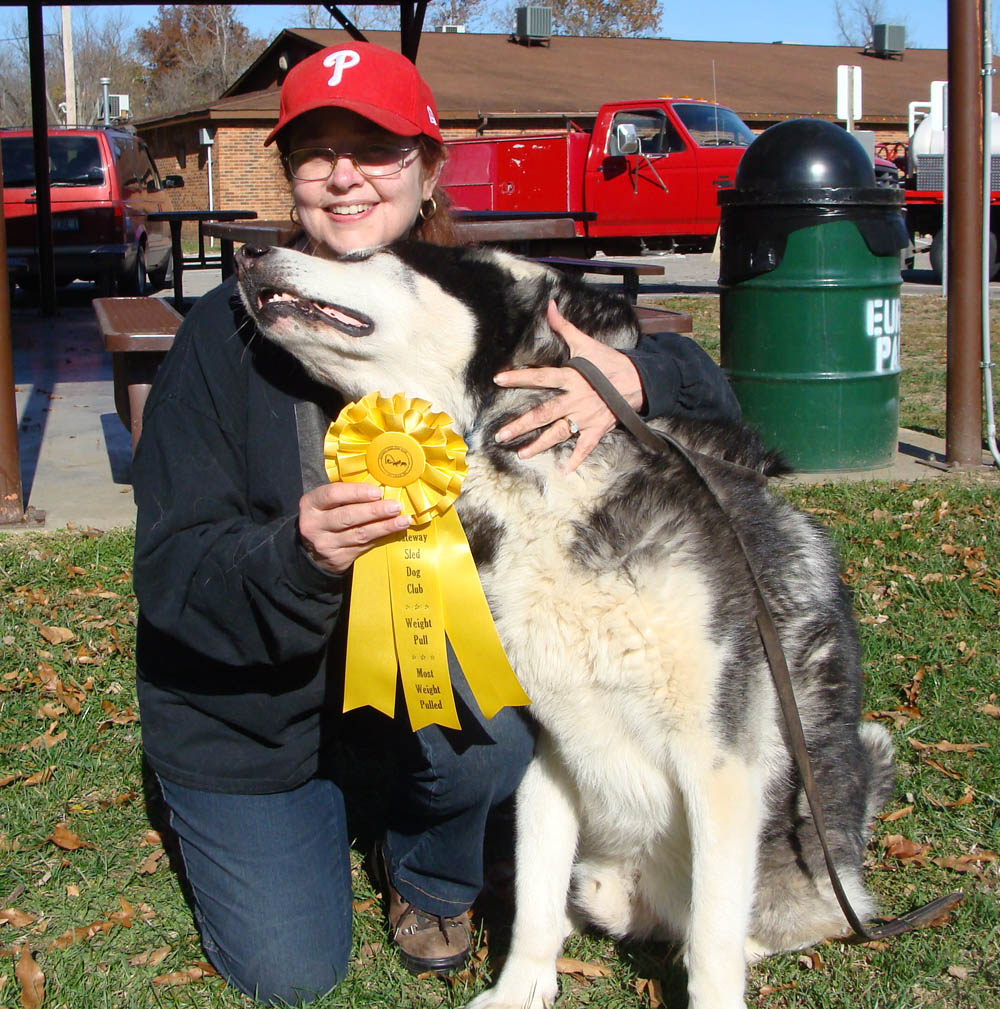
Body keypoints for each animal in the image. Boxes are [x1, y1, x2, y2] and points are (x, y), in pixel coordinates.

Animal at [238, 240, 896, 1004]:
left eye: (369, 254)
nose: (249, 250)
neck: (546, 487)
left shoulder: (720, 763)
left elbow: (713, 937)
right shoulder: (547, 749)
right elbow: (535, 897)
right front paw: (520, 987)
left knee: (774, 920)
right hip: (605, 877)